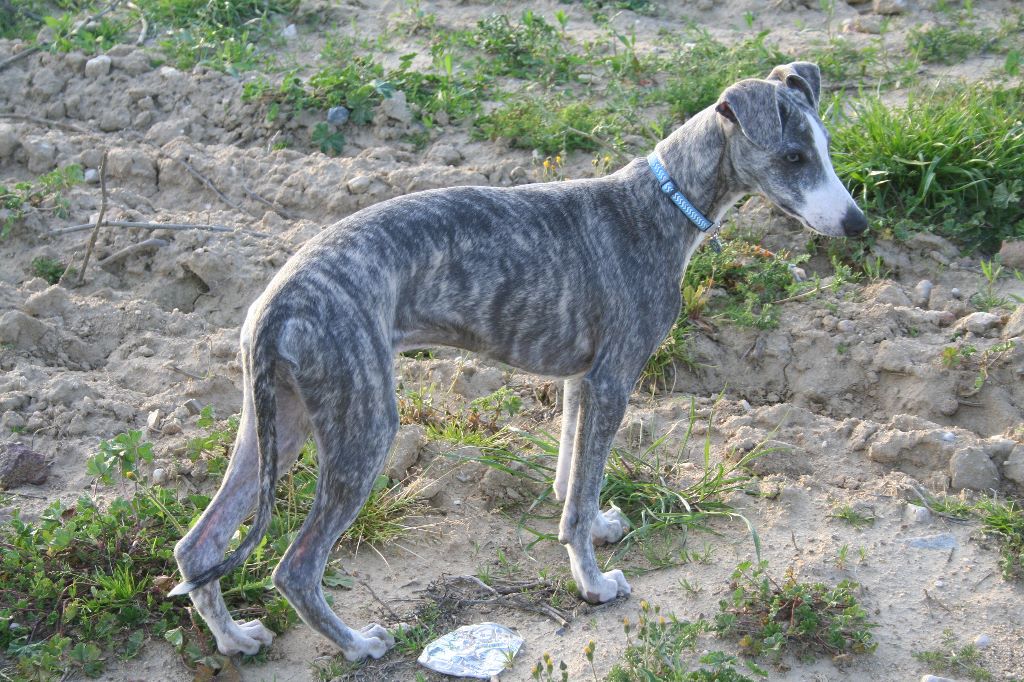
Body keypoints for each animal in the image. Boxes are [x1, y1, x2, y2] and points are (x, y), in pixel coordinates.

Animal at [170, 61, 866, 661]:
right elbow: (578, 499)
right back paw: (357, 644)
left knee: (198, 545)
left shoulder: (583, 382)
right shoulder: (613, 380)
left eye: (825, 148)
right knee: (295, 567)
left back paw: (235, 639)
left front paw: (596, 528)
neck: (659, 202)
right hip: (362, 423)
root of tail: (277, 303)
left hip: (279, 423)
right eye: (793, 157)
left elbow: (573, 481)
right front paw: (593, 585)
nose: (858, 225)